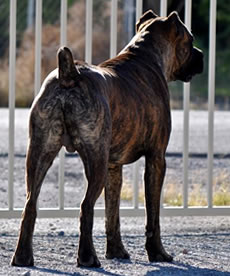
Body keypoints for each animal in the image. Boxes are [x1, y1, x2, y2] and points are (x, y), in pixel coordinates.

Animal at [12, 10, 203, 268]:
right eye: (190, 41)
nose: (201, 55)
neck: (146, 57)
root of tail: (68, 75)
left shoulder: (114, 167)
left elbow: (113, 212)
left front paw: (116, 251)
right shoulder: (156, 159)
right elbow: (152, 215)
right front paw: (157, 253)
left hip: (39, 154)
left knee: (30, 205)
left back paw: (23, 257)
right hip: (95, 161)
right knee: (86, 206)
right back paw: (87, 257)